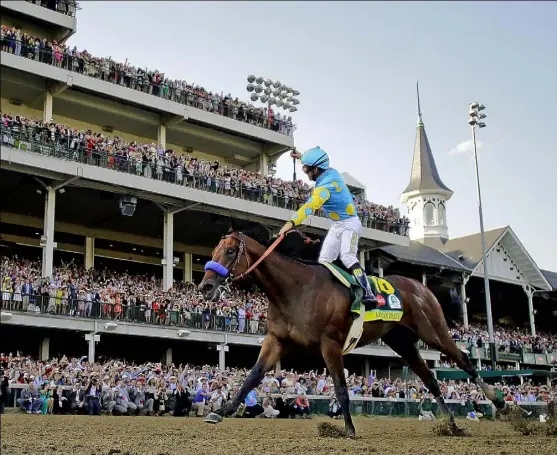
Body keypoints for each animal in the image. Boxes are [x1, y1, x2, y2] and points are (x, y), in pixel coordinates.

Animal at [198, 228, 506, 438]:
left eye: (229, 251)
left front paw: (348, 428)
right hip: (403, 343)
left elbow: (341, 388)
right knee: (430, 379)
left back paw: (497, 399)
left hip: (433, 332)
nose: (205, 287)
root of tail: (422, 286)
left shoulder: (330, 343)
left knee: (464, 360)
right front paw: (222, 412)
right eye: (212, 252)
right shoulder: (277, 340)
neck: (296, 289)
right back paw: (452, 425)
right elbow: (252, 377)